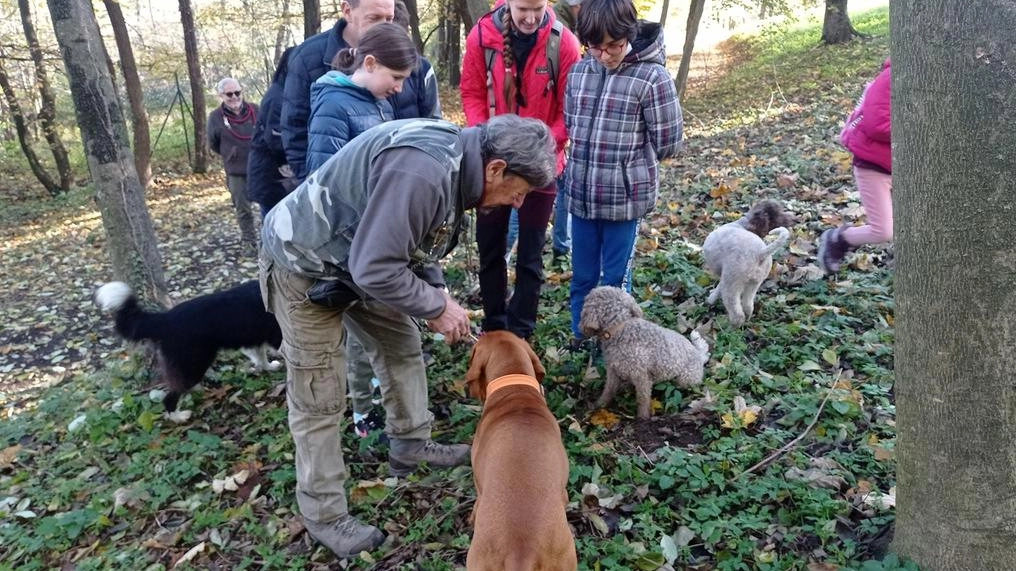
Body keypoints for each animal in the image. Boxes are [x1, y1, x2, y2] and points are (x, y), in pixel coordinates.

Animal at [94, 280, 282, 412]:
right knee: (170, 397)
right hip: (194, 365)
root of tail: (165, 319)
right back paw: (180, 416)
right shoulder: (277, 335)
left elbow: (260, 355)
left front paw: (268, 367)